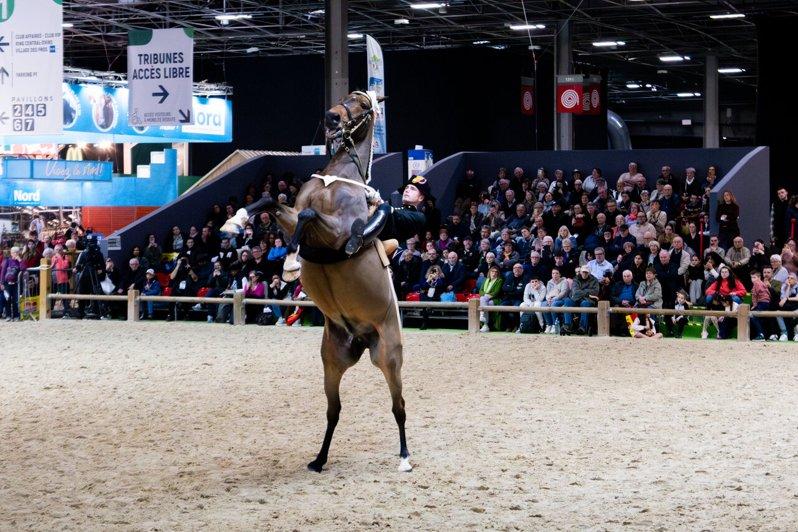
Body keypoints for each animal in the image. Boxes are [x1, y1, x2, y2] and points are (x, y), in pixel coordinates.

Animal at [223, 91, 411, 473]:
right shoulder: (291, 214)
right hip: (332, 362)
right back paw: (319, 459)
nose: (332, 118)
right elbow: (273, 200)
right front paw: (234, 222)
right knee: (333, 411)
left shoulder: (337, 234)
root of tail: (361, 339)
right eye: (345, 97)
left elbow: (309, 217)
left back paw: (404, 456)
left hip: (389, 358)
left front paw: (292, 263)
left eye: (363, 105)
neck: (337, 179)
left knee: (398, 406)